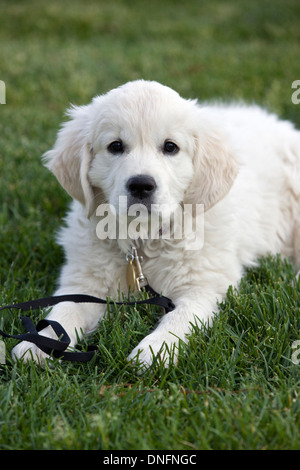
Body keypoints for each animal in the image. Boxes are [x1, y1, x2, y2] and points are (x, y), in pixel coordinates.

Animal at [12, 80, 300, 368]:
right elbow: (62, 312)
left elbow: (180, 319)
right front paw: (37, 343)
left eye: (170, 147)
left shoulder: (202, 286)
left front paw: (154, 350)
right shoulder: (84, 282)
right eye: (115, 146)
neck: (143, 237)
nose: (141, 185)